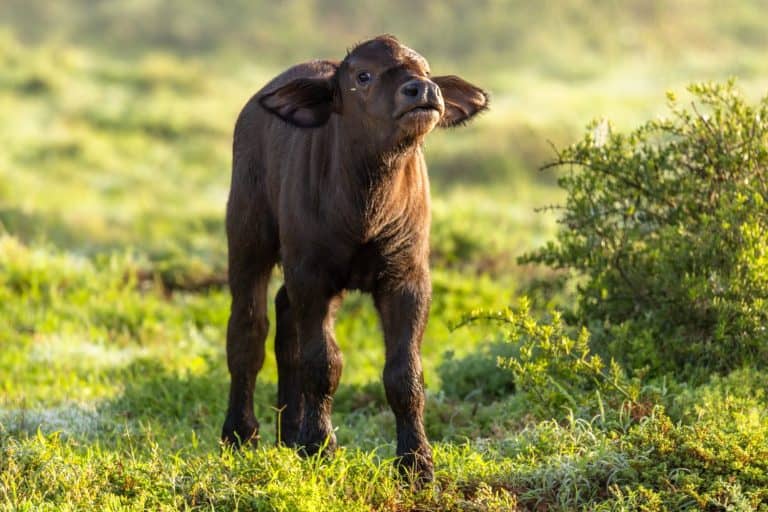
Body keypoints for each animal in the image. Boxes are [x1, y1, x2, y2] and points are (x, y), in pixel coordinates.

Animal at [221, 35, 488, 482]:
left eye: (426, 71)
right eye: (363, 76)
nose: (423, 91)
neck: (366, 202)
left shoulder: (407, 279)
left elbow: (404, 373)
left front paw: (416, 461)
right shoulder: (313, 277)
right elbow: (322, 363)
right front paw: (320, 446)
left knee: (285, 318)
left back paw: (290, 432)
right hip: (247, 235)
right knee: (249, 329)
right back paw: (241, 434)